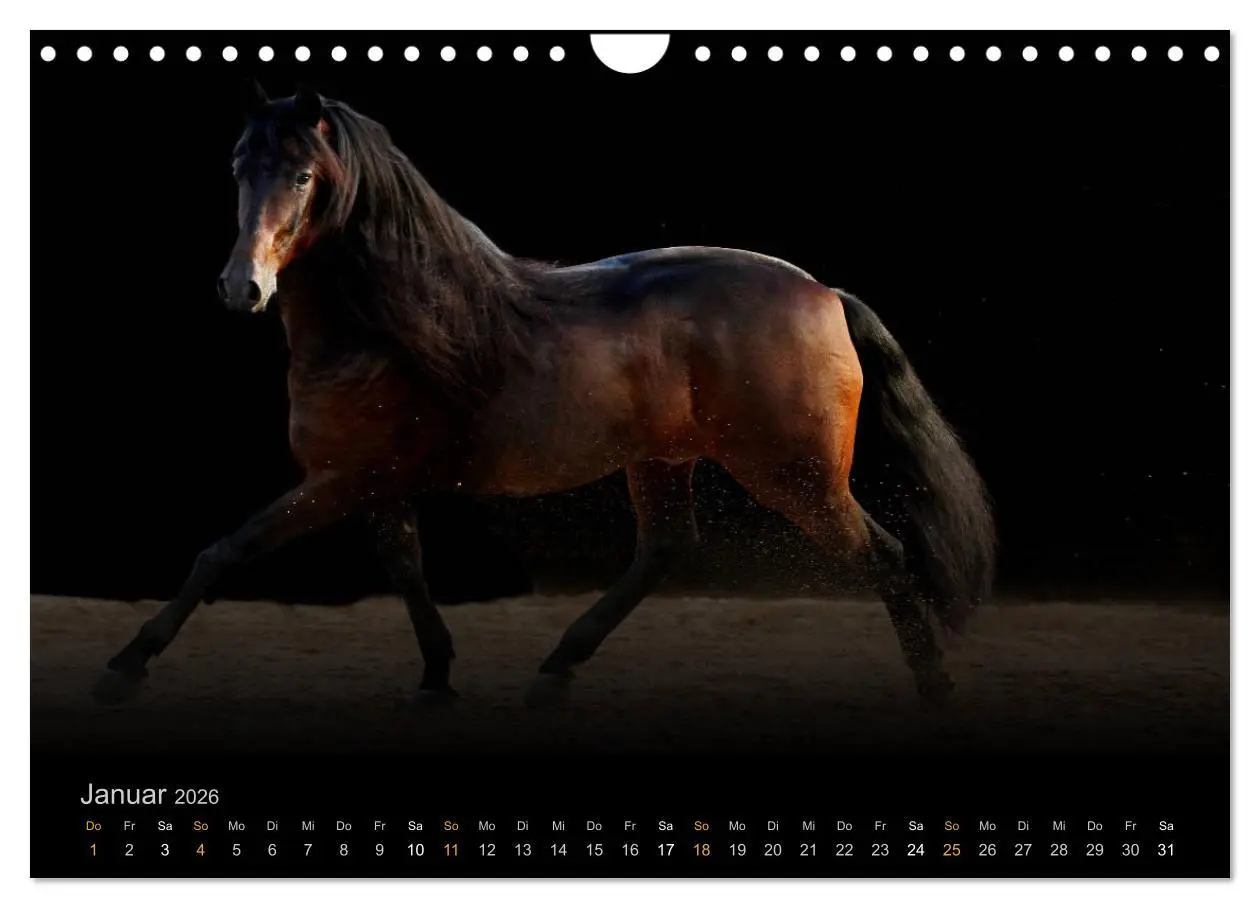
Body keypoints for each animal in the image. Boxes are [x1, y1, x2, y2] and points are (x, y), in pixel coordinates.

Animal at [93, 83, 996, 708]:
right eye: (238, 169)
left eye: (306, 175)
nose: (239, 288)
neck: (387, 329)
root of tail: (823, 292)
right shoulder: (376, 483)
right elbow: (405, 567)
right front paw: (436, 678)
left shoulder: (338, 482)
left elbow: (227, 550)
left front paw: (124, 667)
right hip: (665, 460)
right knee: (663, 550)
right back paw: (555, 672)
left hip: (794, 476)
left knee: (884, 556)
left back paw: (937, 692)